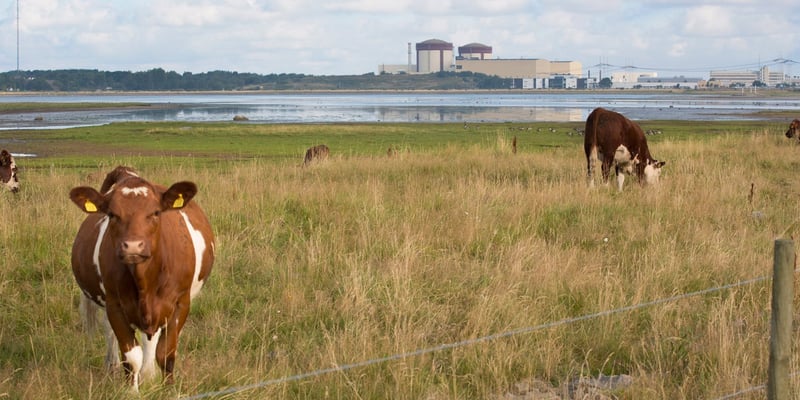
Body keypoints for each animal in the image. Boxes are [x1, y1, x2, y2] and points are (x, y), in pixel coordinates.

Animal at [69, 166, 216, 390]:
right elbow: (131, 357)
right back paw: (113, 365)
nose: (133, 246)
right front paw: (132, 391)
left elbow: (166, 353)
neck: (144, 280)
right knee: (110, 332)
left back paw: (148, 373)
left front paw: (168, 388)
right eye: (112, 214)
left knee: (151, 340)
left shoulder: (181, 303)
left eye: (155, 212)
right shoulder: (115, 305)